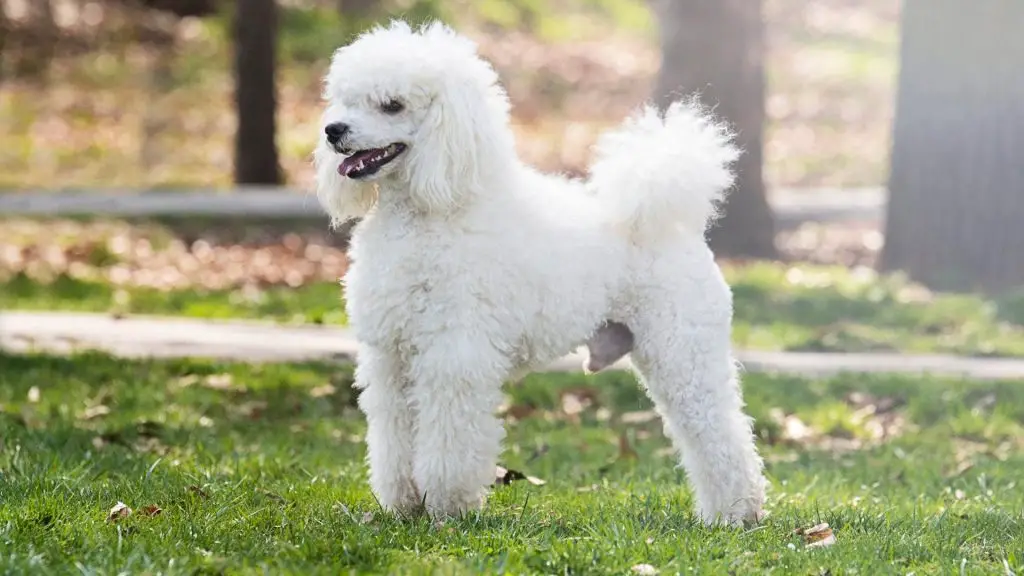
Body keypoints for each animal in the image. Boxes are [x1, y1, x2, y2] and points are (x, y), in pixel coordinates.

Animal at [315, 20, 765, 524]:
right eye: (344, 99)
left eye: (392, 104)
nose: (333, 130)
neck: (432, 211)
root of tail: (672, 220)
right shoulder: (391, 355)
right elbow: (394, 436)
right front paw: (404, 504)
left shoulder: (454, 355)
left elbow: (451, 438)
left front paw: (447, 507)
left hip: (682, 349)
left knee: (719, 432)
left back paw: (736, 514)